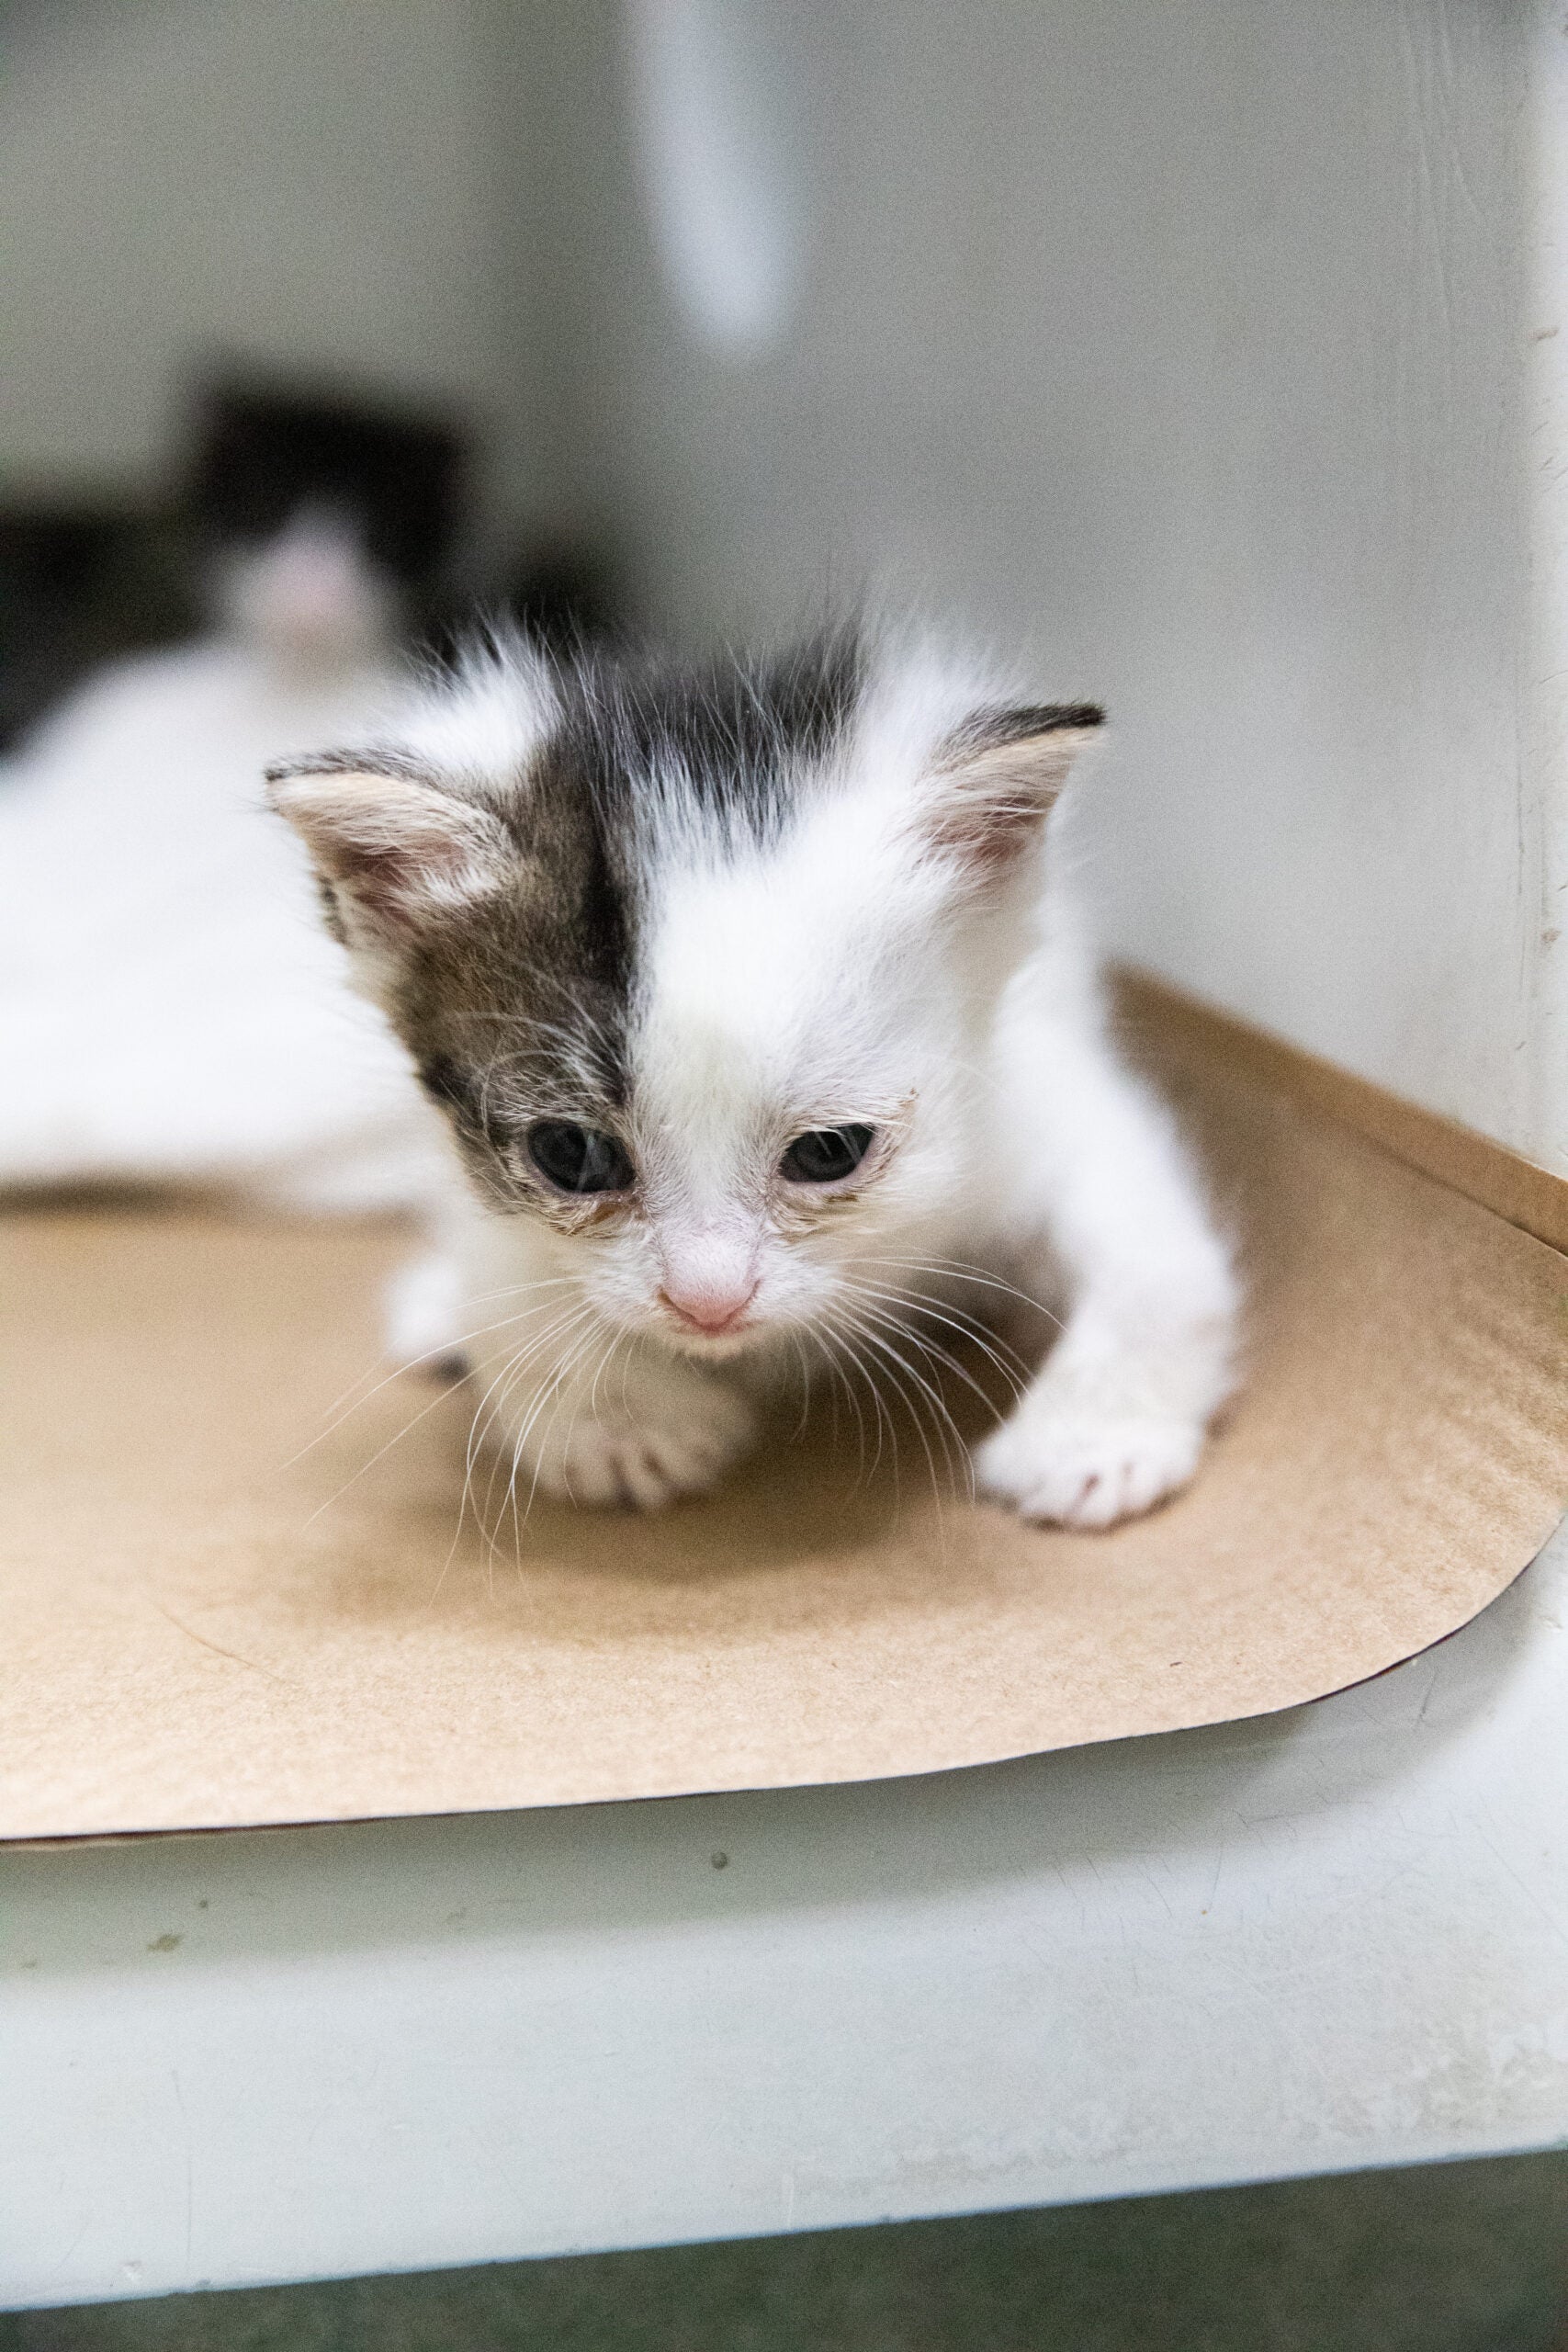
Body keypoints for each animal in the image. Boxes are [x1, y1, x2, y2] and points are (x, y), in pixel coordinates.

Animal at [276, 625, 1241, 1533]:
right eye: (571, 1155)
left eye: (829, 1152)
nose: (708, 1304)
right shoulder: (473, 1167)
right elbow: (506, 1277)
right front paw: (623, 1428)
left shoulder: (1032, 1090)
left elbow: (1155, 1258)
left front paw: (1089, 1442)